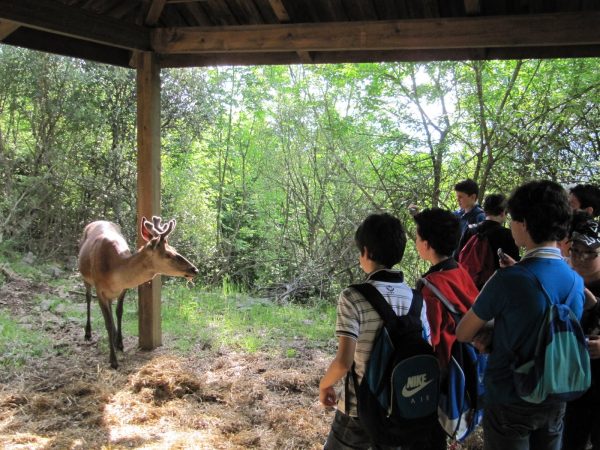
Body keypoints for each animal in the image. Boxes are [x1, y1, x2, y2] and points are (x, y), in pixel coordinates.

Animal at [77, 216, 198, 368]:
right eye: (168, 254)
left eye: (175, 249)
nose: (194, 269)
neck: (113, 272)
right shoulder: (100, 289)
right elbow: (107, 323)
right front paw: (113, 360)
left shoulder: (123, 288)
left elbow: (119, 312)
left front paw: (120, 343)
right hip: (85, 276)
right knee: (87, 297)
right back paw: (87, 333)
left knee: (110, 308)